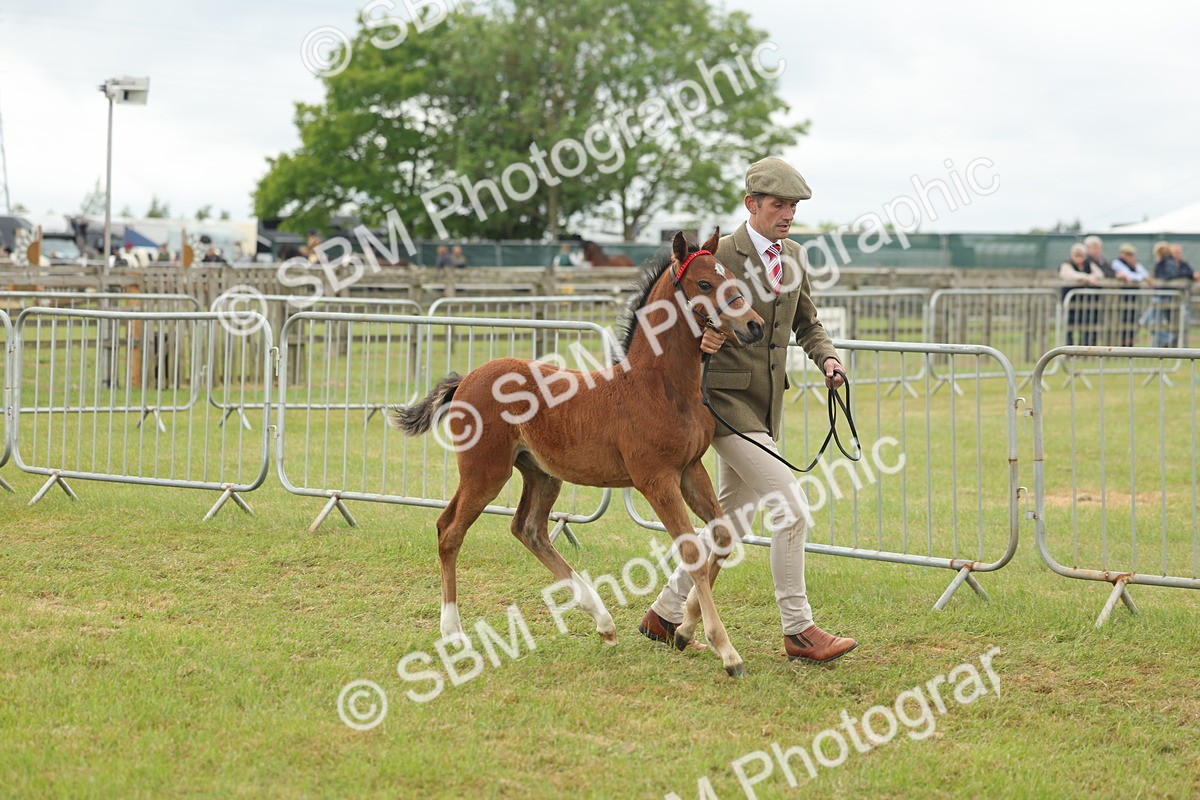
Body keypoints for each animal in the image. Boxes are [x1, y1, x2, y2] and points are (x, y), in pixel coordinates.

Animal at [389, 229, 765, 677]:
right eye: (705, 283)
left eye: (733, 279)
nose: (754, 325)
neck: (660, 384)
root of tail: (465, 380)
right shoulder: (656, 479)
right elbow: (691, 550)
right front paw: (727, 652)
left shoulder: (691, 469)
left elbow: (721, 535)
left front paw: (686, 631)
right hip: (485, 471)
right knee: (449, 531)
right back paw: (454, 633)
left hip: (540, 473)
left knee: (528, 529)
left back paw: (602, 621)